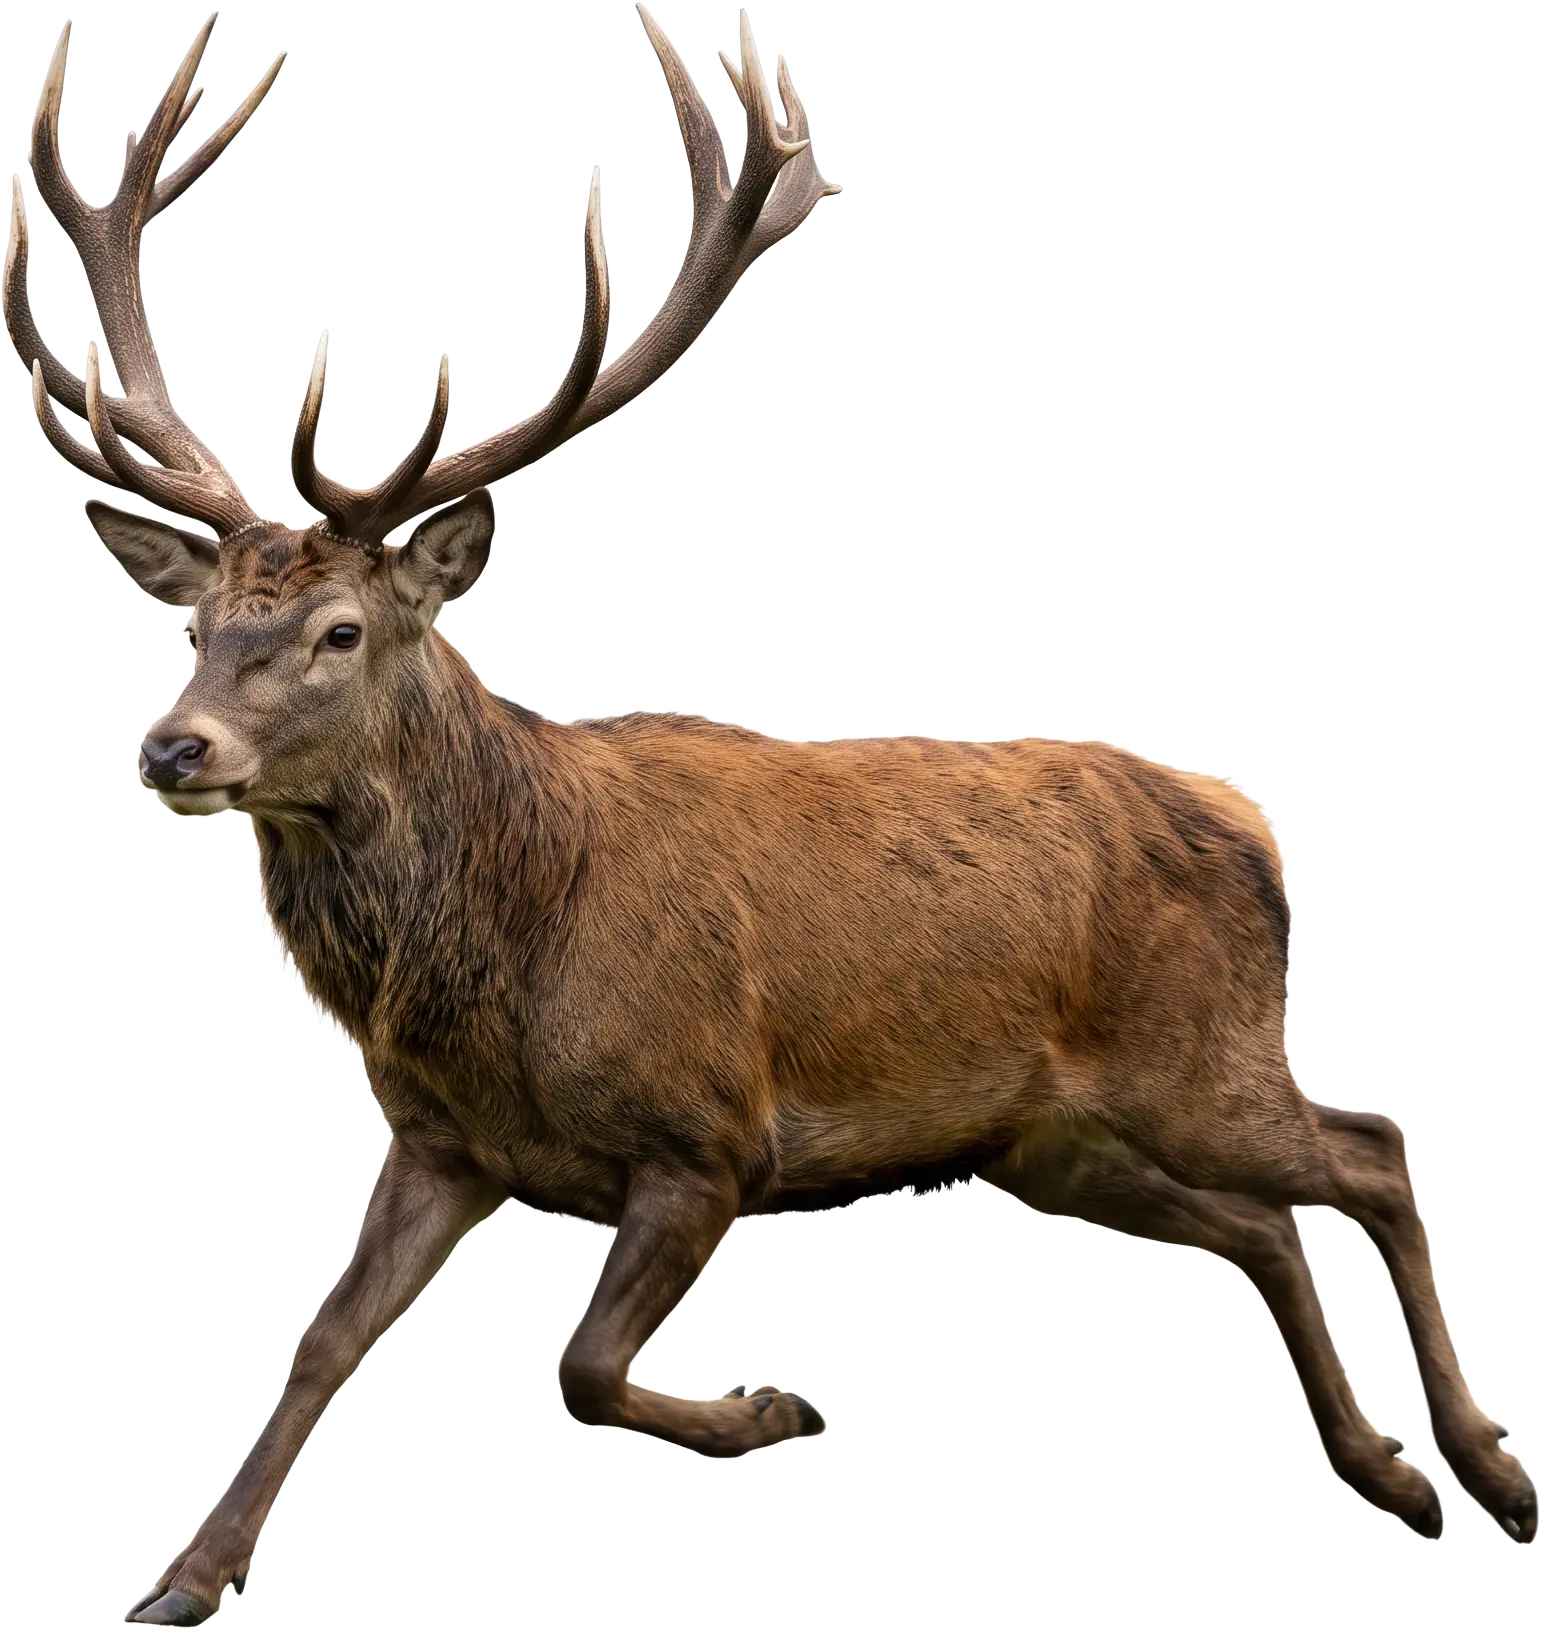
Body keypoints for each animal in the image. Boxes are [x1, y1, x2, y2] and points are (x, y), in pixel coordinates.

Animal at [5, 7, 1534, 1623]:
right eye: (194, 630)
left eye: (340, 632)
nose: (172, 747)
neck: (502, 959)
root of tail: (1252, 819)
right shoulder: (443, 1143)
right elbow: (319, 1340)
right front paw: (182, 1574)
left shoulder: (708, 1133)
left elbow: (582, 1366)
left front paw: (768, 1409)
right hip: (1055, 1143)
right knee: (1265, 1224)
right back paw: (1391, 1474)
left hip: (1203, 1056)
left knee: (1373, 1149)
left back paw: (1486, 1468)